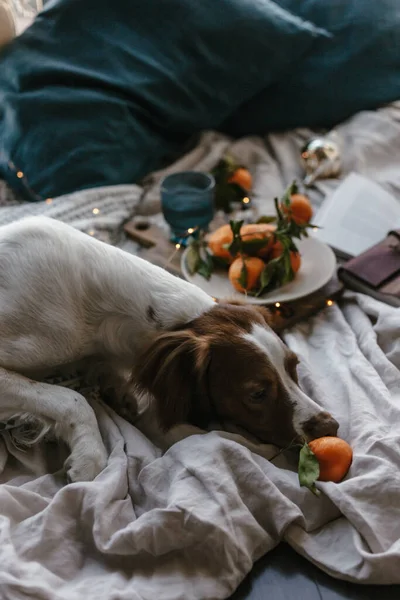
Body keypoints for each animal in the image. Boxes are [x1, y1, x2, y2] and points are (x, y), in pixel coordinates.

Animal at [0, 218, 340, 480]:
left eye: (294, 366)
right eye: (257, 393)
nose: (331, 427)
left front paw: (116, 391)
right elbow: (72, 399)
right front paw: (89, 455)